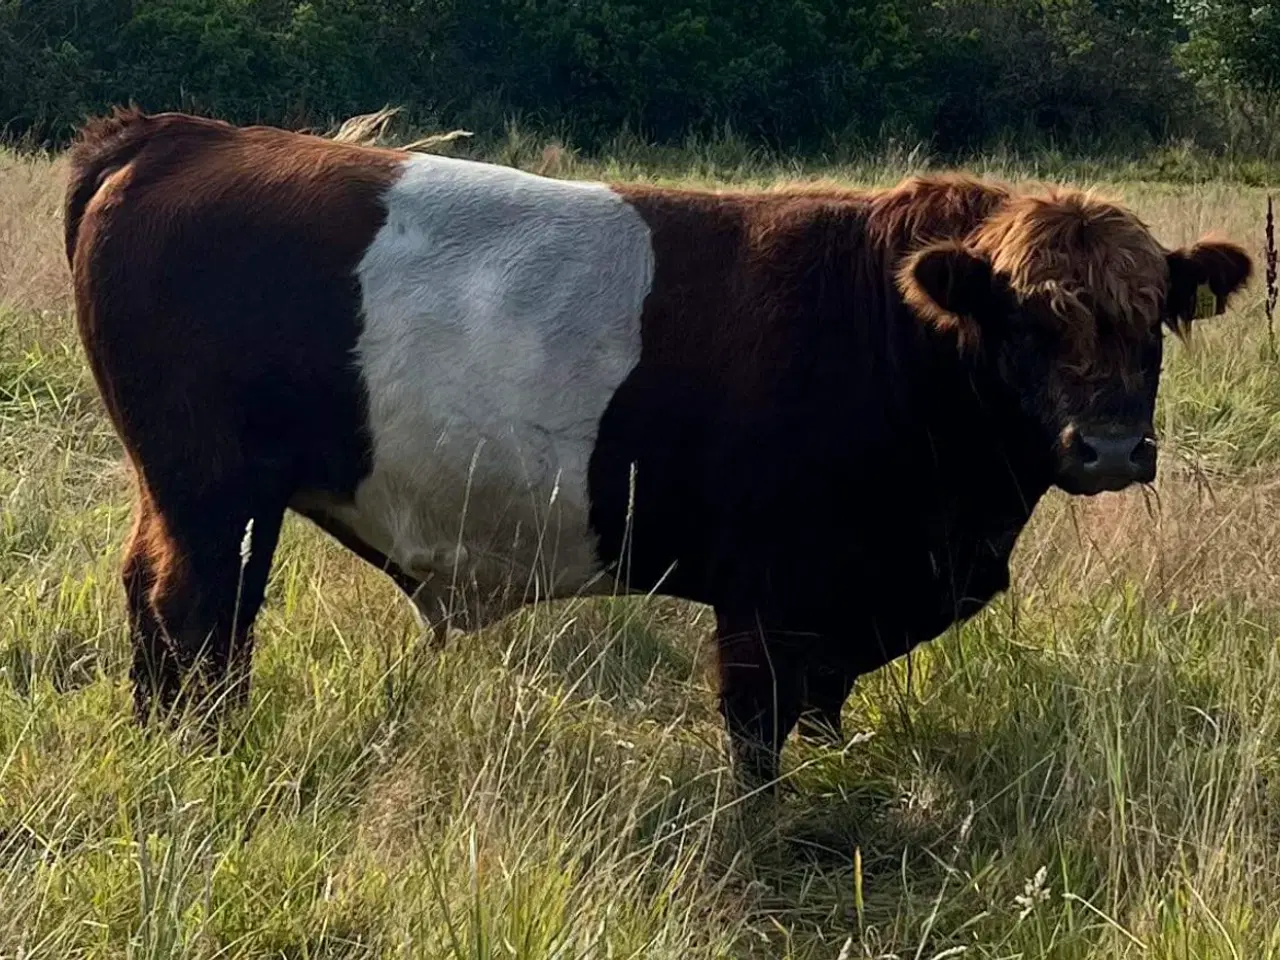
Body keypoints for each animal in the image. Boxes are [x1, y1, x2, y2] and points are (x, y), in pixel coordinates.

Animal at [62, 110, 1249, 788]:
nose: (1107, 447)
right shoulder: (774, 599)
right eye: (1024, 322)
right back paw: (203, 752)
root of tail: (182, 132)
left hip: (184, 494)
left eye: (1152, 323)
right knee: (195, 618)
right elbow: (757, 739)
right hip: (215, 493)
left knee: (160, 605)